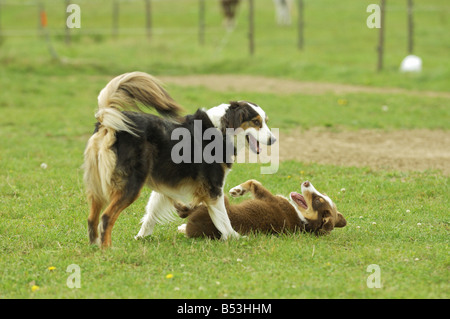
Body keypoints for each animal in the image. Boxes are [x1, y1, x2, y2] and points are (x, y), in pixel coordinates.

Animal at [175, 179, 344, 239]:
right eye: (322, 196)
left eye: (317, 200)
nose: (307, 182)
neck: (304, 220)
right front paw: (239, 190)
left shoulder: (266, 197)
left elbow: (254, 182)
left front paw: (237, 190)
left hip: (219, 201)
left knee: (186, 211)